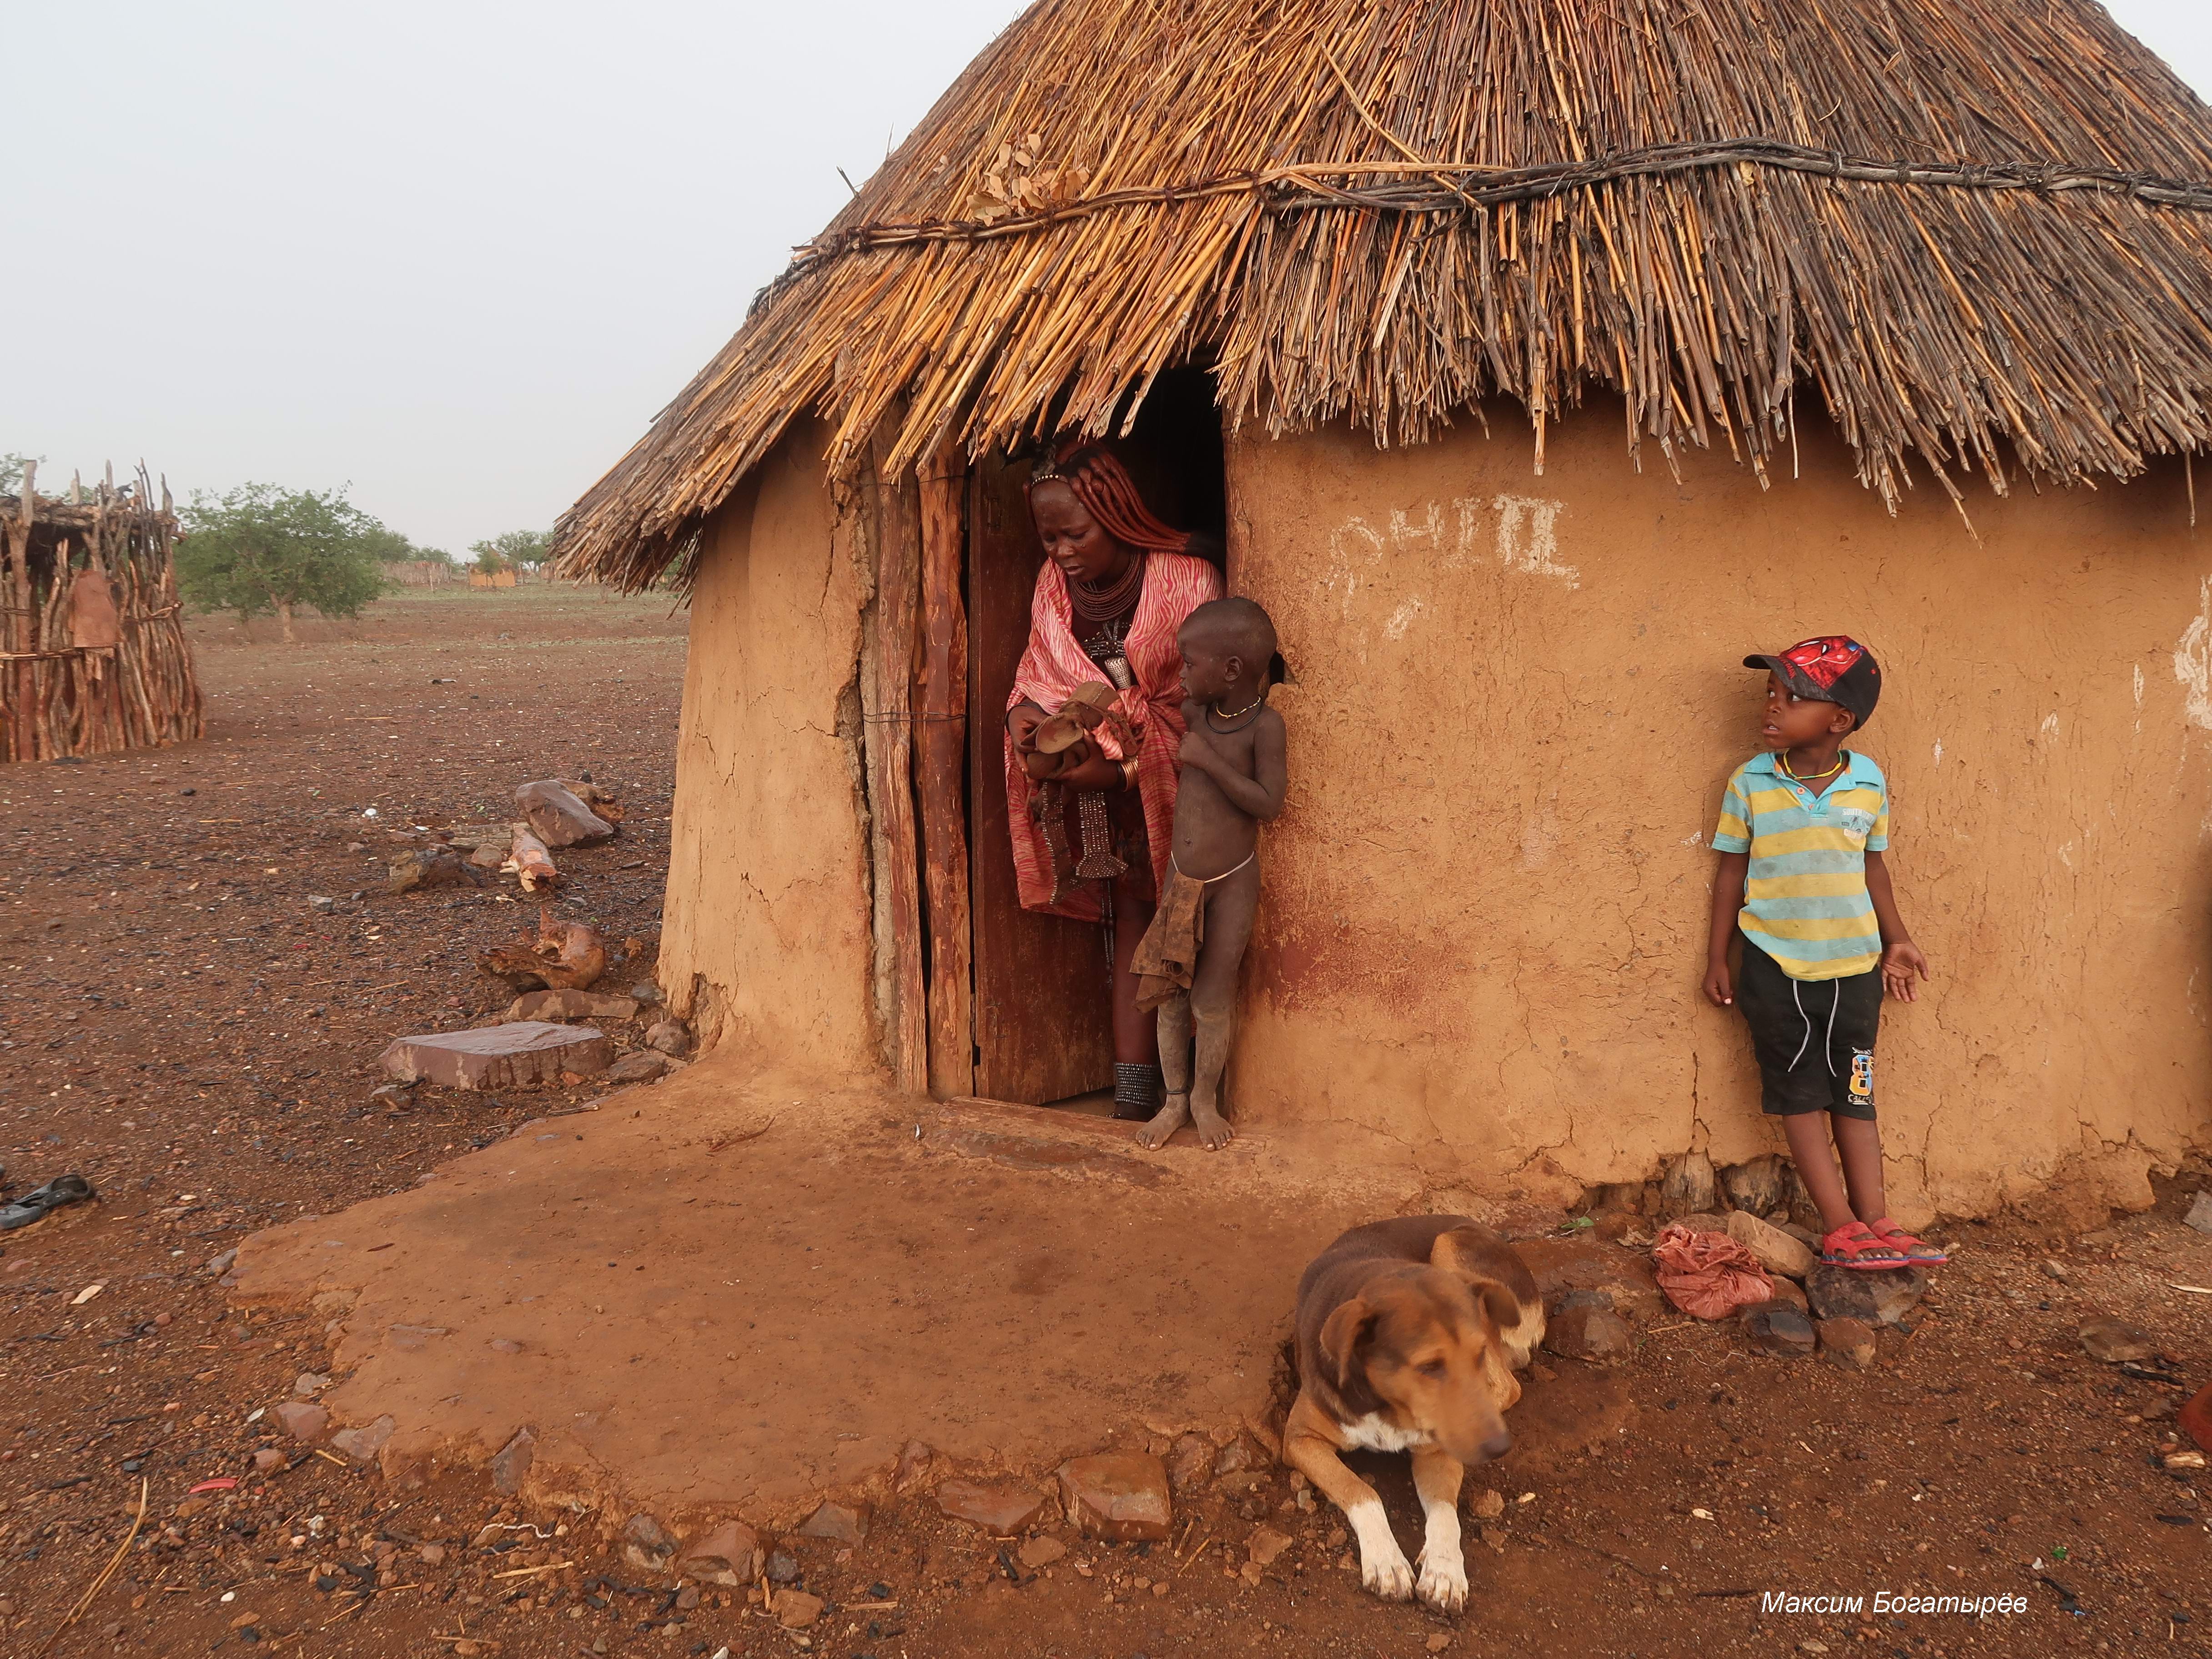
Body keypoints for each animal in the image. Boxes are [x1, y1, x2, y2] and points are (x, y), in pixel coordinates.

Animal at [1283, 1212, 1539, 1619]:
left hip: (1449, 1247)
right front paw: (1386, 1561)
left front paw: (1445, 1570)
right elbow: (1361, 1490)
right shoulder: (1299, 1439)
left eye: (1477, 1355)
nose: (1500, 1446)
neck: (1391, 1405)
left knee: (1509, 1385)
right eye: (1429, 1367)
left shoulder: (1438, 1452)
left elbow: (1445, 1512)